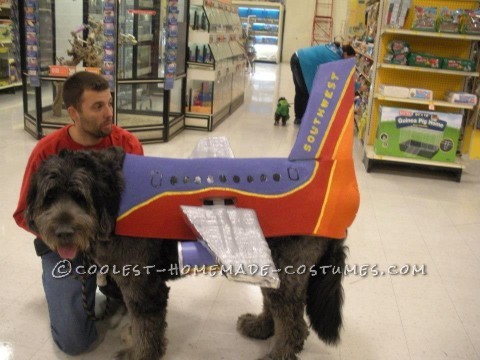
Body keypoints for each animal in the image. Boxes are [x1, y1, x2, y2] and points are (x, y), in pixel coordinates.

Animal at [24, 147, 346, 360]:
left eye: (80, 196)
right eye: (50, 196)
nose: (63, 232)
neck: (112, 198)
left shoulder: (143, 288)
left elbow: (146, 328)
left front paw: (139, 354)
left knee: (293, 325)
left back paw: (277, 353)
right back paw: (260, 326)